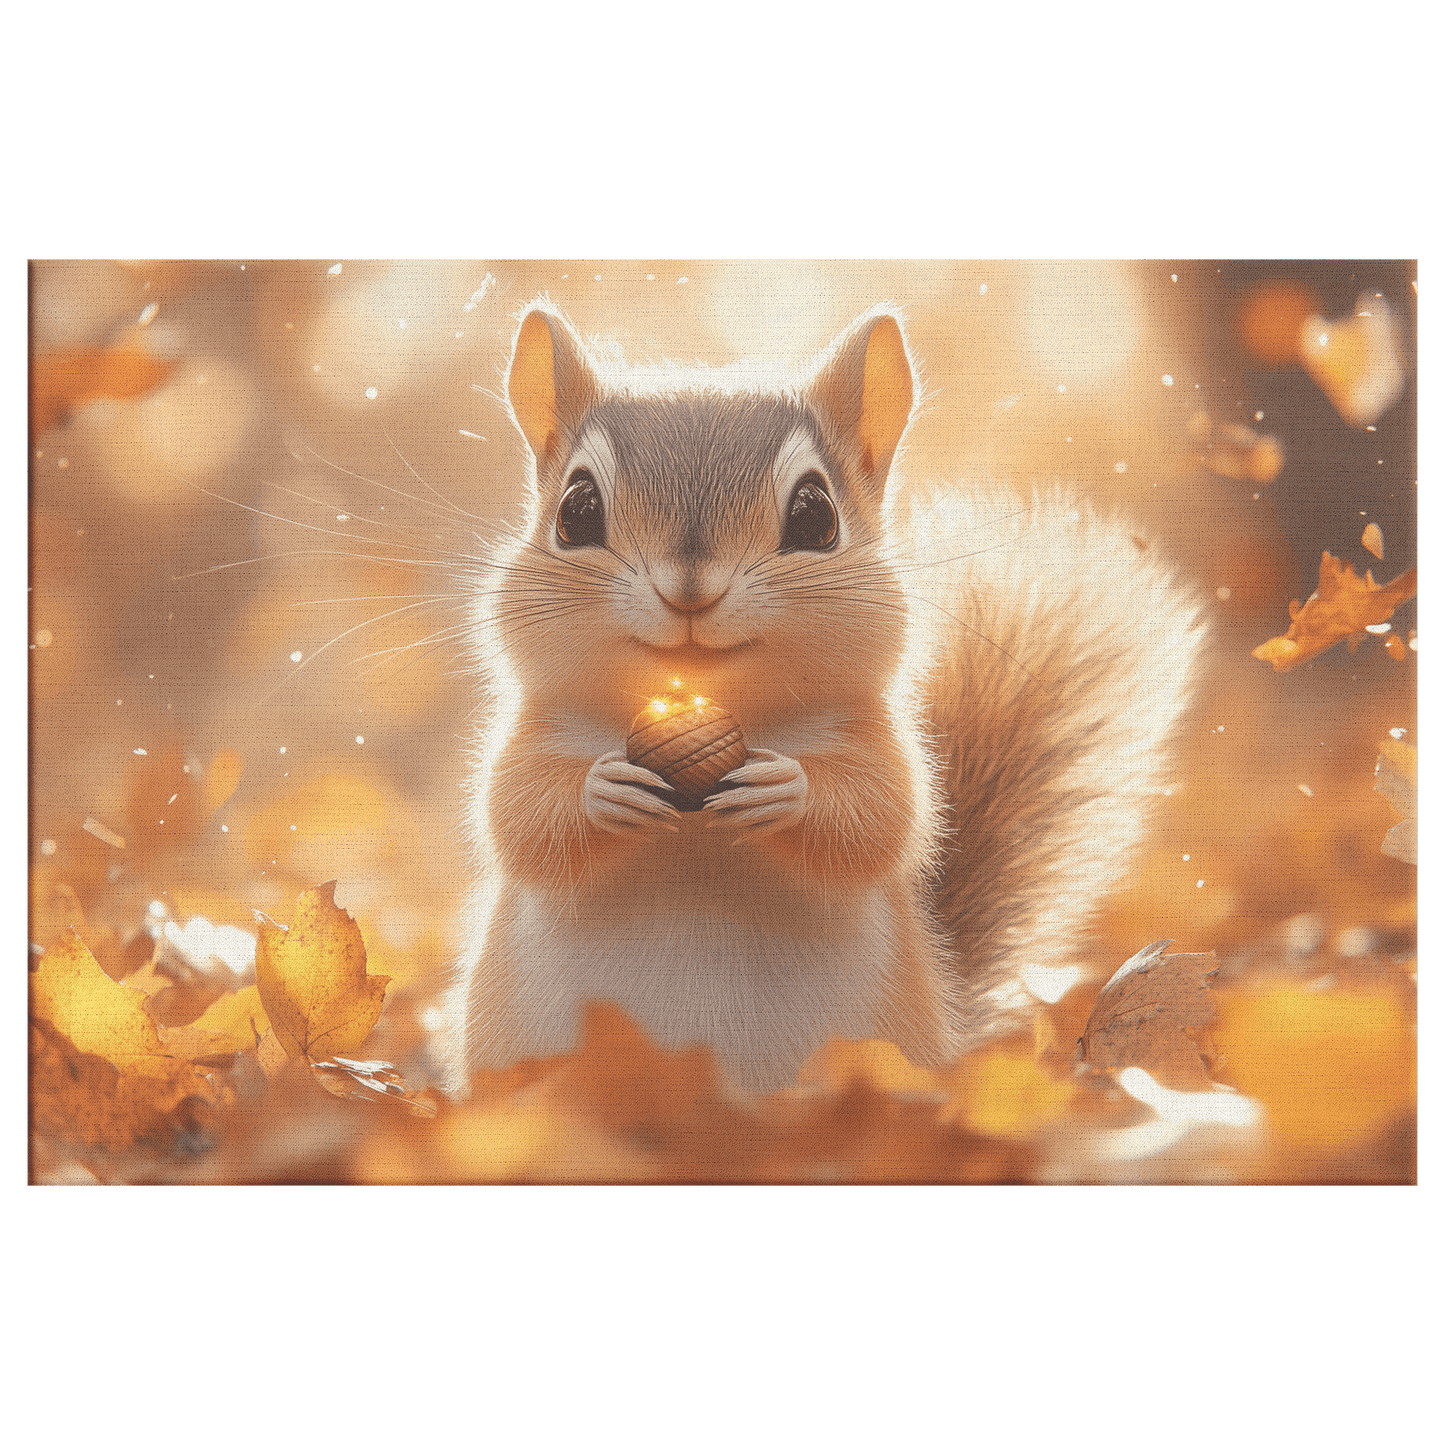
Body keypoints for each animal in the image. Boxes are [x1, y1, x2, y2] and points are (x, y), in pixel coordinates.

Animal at [438, 301, 1206, 1094]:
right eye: (576, 510)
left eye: (815, 516)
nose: (689, 590)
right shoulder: (531, 734)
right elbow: (517, 813)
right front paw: (602, 788)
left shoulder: (879, 743)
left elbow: (880, 817)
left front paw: (789, 788)